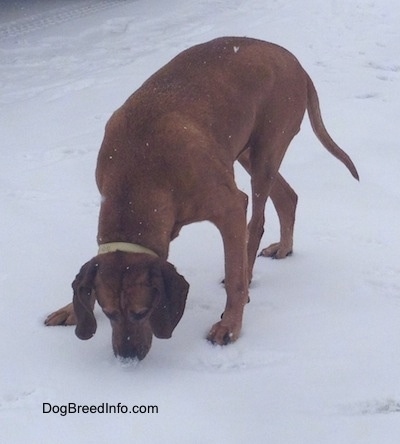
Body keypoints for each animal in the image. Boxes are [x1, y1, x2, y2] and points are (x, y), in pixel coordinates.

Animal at [44, 36, 360, 360]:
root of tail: (295, 63)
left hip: (266, 152)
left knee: (257, 223)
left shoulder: (230, 207)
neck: (137, 173)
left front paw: (230, 326)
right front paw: (71, 309)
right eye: (108, 313)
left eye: (142, 312)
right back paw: (284, 247)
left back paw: (250, 277)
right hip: (242, 150)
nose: (127, 357)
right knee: (287, 196)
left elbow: (234, 275)